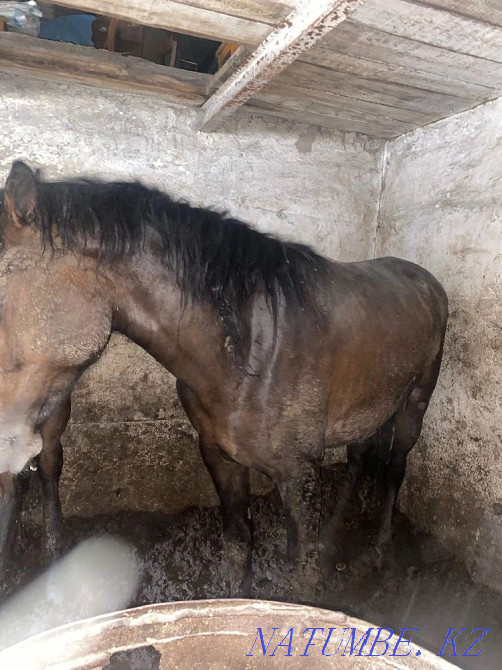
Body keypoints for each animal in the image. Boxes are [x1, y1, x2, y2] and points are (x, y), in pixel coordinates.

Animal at [0, 161, 448, 601]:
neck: (248, 351)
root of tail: (425, 279)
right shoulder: (220, 457)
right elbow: (237, 546)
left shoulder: (298, 473)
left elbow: (301, 575)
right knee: (359, 459)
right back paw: (335, 536)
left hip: (415, 402)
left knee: (395, 467)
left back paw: (380, 553)